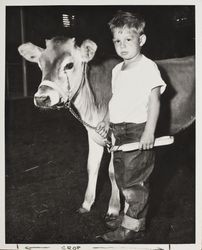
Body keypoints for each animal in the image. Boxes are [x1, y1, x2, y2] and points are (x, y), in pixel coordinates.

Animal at [18, 35, 195, 219]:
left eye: (69, 65)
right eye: (40, 64)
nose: (41, 98)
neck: (91, 105)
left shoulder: (117, 138)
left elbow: (113, 172)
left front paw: (114, 208)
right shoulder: (92, 133)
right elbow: (92, 166)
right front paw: (86, 204)